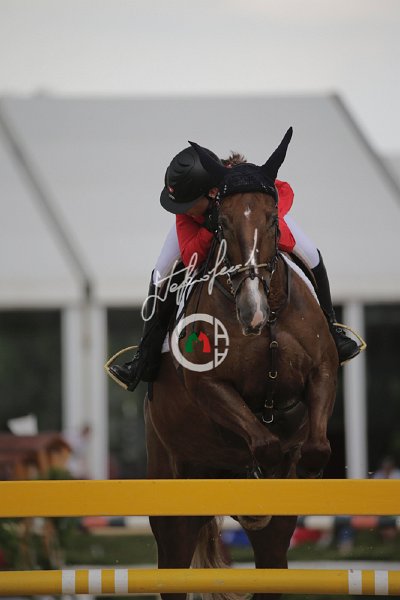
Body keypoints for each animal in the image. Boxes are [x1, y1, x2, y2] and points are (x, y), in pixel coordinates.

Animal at [145, 128, 338, 600]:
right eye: (223, 224)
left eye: (272, 219)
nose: (252, 314)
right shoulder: (210, 388)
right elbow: (262, 441)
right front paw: (258, 478)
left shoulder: (323, 372)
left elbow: (314, 446)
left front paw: (298, 471)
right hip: (173, 505)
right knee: (173, 564)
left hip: (269, 547)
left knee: (271, 564)